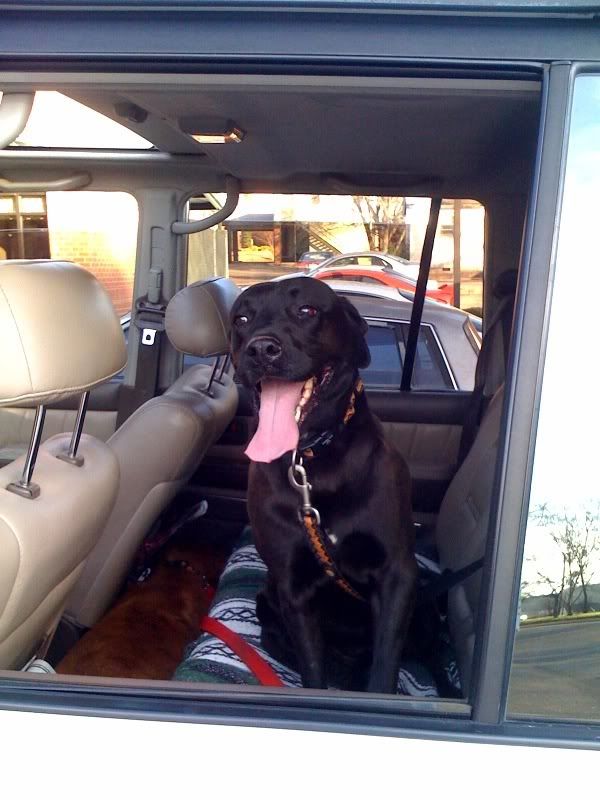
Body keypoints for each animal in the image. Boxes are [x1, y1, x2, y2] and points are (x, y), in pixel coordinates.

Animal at [230, 278, 418, 692]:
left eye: (307, 311)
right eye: (242, 319)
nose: (261, 349)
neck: (311, 461)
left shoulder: (397, 574)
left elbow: (384, 669)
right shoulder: (293, 589)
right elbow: (312, 670)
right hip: (267, 603)